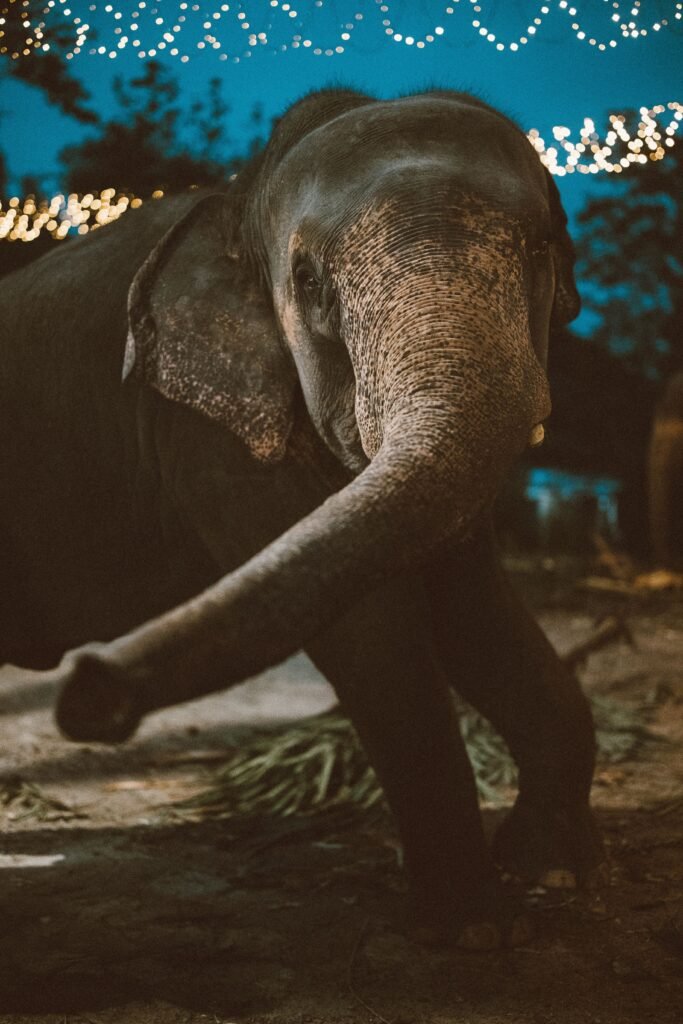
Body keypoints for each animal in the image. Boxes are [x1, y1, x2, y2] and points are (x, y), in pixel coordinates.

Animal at [0, 89, 604, 949]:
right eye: (311, 282)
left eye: (538, 246)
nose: (89, 689)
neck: (239, 201)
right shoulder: (206, 433)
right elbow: (370, 634)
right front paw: (468, 929)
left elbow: (470, 607)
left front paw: (549, 876)